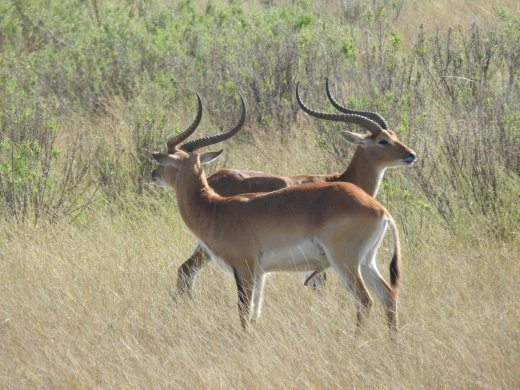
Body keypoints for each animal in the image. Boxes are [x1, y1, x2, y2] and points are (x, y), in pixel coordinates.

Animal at [152, 99, 408, 334]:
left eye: (169, 160)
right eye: (383, 140)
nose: (153, 173)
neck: (215, 208)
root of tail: (380, 210)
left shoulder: (245, 269)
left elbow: (244, 313)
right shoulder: (259, 273)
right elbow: (254, 313)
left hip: (345, 262)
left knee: (366, 300)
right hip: (365, 261)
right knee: (388, 294)